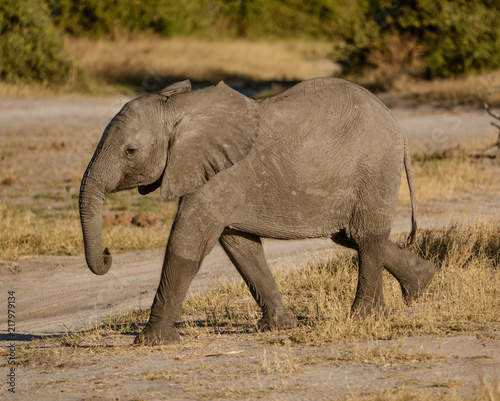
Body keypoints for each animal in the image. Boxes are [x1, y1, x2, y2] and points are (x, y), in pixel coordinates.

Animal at [79, 77, 434, 344]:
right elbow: (240, 246)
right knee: (350, 236)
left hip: (375, 168)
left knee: (365, 236)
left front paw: (151, 341)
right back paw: (421, 285)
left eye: (130, 151)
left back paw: (364, 317)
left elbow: (187, 242)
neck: (183, 108)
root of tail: (398, 126)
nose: (108, 255)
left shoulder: (221, 175)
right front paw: (279, 327)